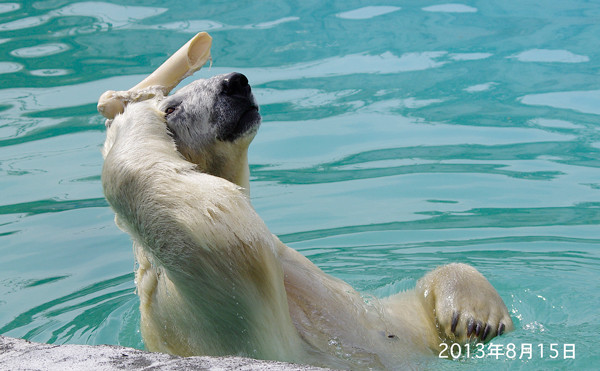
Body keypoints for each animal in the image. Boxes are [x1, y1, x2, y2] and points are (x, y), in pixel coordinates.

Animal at [101, 72, 512, 370]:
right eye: (172, 108)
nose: (235, 82)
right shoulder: (194, 300)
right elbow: (216, 220)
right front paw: (130, 114)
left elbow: (404, 323)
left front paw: (476, 317)